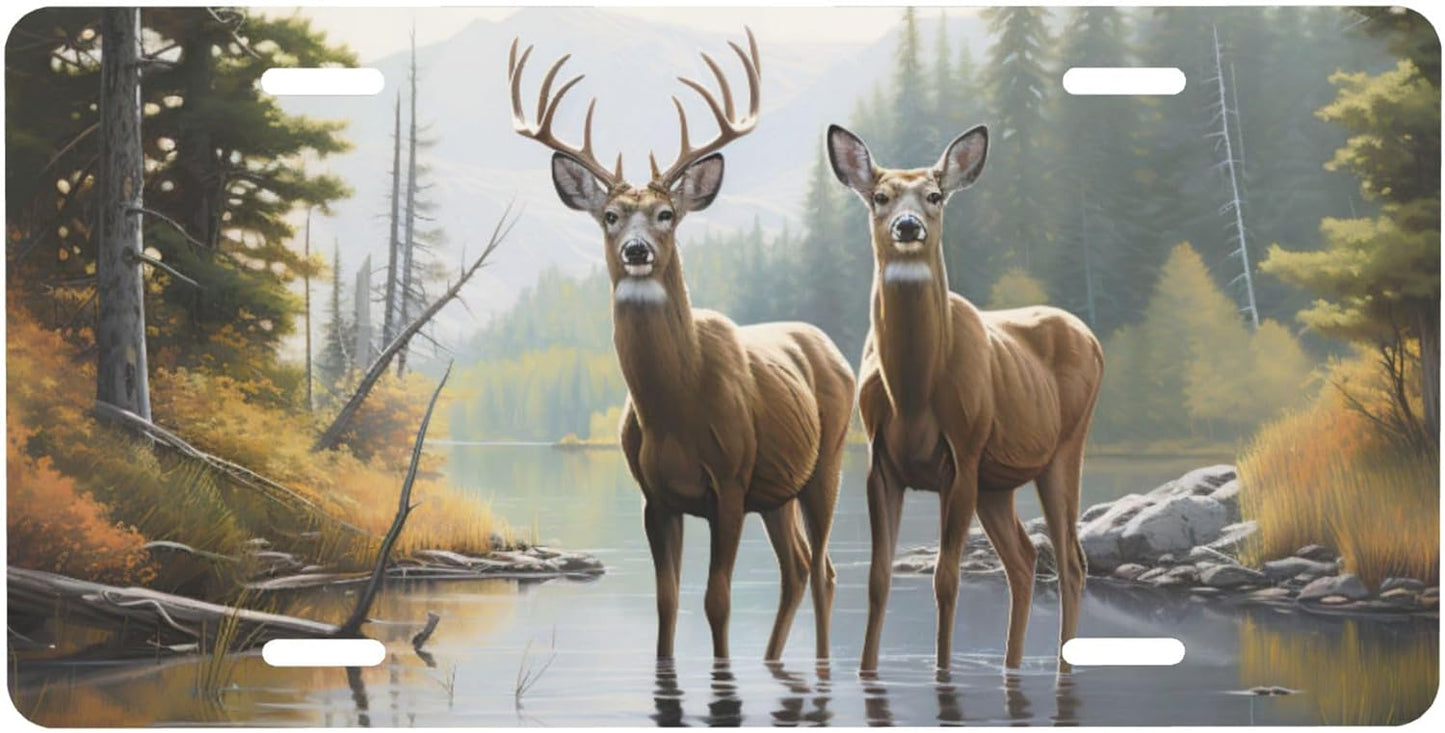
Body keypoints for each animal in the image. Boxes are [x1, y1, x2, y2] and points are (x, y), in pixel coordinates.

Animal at [507, 30, 855, 663]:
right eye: (610, 216)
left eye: (667, 213)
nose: (637, 250)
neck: (677, 409)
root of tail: (830, 346)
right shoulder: (656, 497)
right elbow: (666, 604)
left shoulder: (732, 482)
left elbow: (716, 601)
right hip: (779, 490)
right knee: (796, 568)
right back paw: (773, 660)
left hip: (829, 460)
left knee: (824, 571)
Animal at [825, 124, 1104, 674]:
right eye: (880, 197)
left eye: (935, 196)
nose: (908, 225)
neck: (913, 394)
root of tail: (1091, 337)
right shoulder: (880, 463)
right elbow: (877, 579)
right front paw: (867, 671)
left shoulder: (963, 454)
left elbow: (946, 578)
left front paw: (942, 670)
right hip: (997, 481)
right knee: (1023, 559)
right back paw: (1011, 665)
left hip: (1064, 446)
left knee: (1071, 561)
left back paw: (1060, 669)